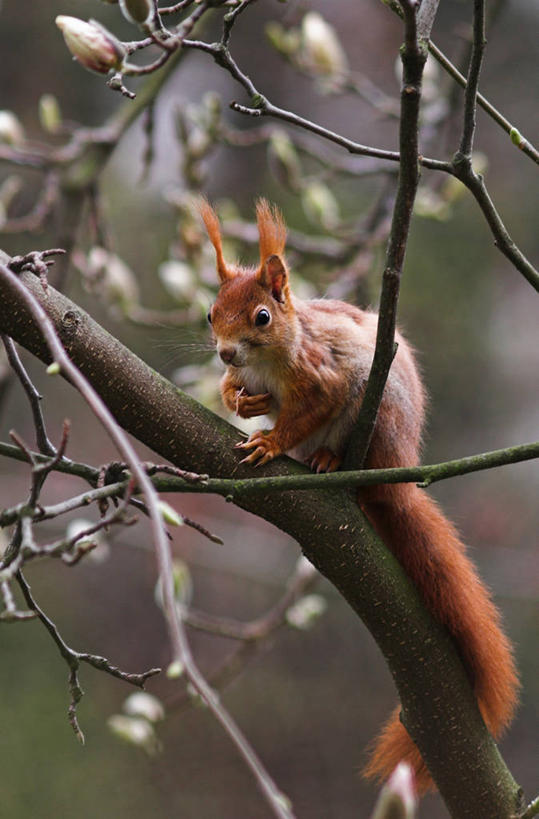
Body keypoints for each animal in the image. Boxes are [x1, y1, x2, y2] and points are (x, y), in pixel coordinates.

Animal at [199, 199, 520, 796]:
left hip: (379, 416)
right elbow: (239, 395)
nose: (227, 354)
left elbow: (312, 407)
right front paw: (239, 399)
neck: (272, 357)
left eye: (262, 317)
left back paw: (325, 460)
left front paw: (271, 441)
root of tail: (395, 471)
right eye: (210, 314)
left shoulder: (324, 375)